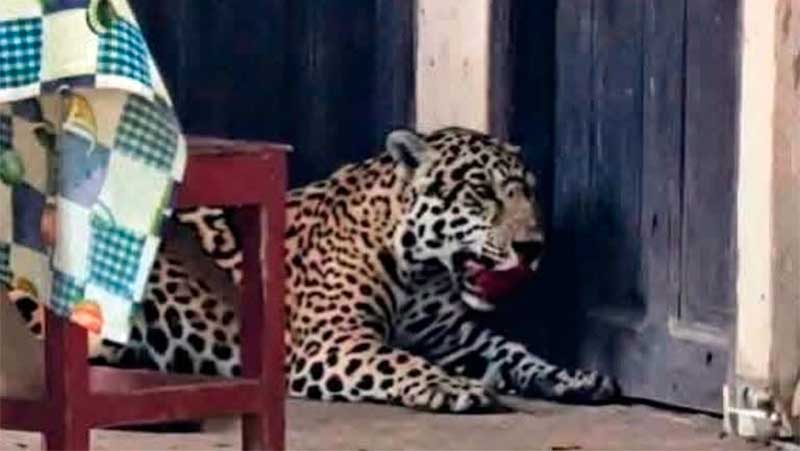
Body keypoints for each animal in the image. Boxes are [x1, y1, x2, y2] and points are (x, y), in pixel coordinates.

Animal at [5, 126, 619, 413]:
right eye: (481, 192)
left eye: (528, 194)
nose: (534, 246)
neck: (422, 273)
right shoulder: (332, 340)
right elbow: (401, 360)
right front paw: (453, 387)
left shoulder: (455, 336)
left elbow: (516, 352)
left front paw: (575, 377)